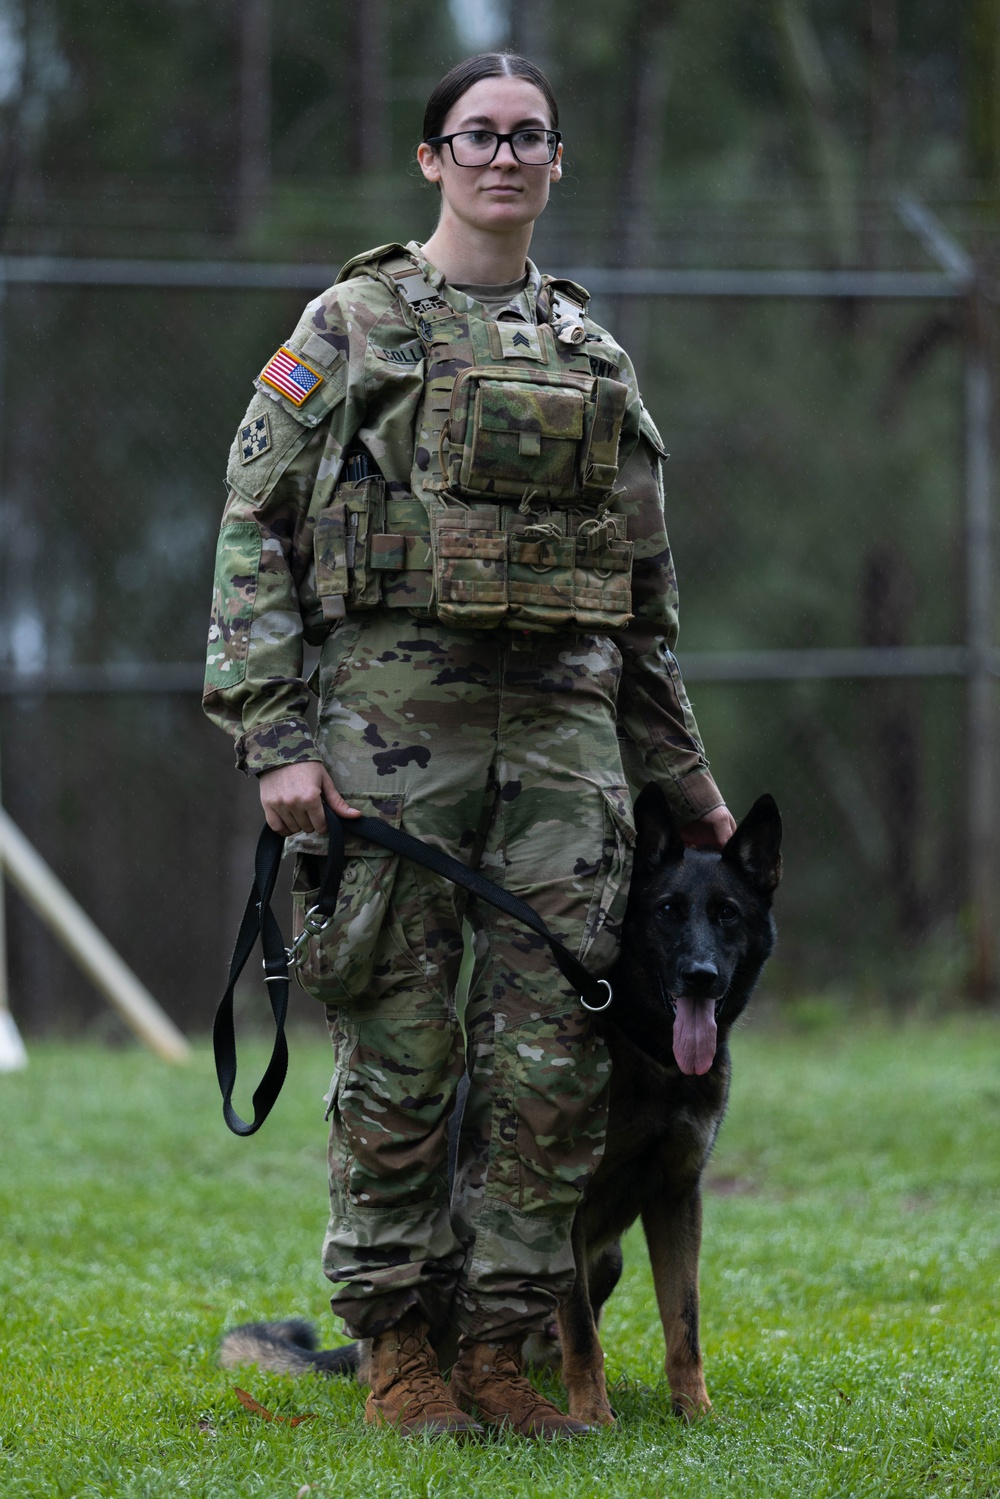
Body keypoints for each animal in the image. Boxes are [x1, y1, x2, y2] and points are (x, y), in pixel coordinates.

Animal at [218, 785, 779, 1427]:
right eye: (667, 910)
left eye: (727, 914)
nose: (700, 976)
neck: (646, 1045)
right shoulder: (567, 1205)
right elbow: (584, 1332)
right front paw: (595, 1416)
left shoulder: (676, 1198)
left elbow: (683, 1322)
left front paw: (695, 1412)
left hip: (608, 1257)